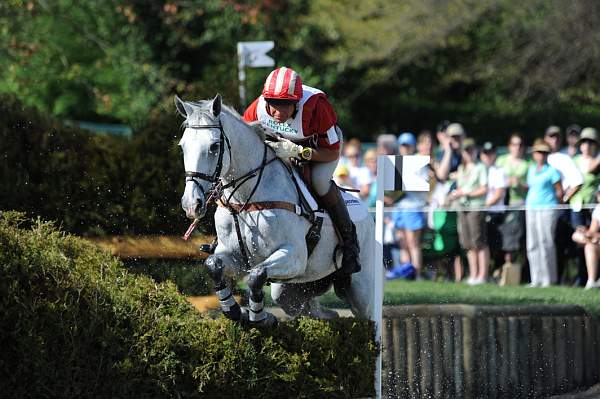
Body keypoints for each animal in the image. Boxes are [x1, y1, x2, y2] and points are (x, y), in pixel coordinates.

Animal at [176, 94, 378, 328]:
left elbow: (256, 275)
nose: (191, 204)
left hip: (361, 293)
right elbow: (212, 264)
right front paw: (233, 310)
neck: (246, 199)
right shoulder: (233, 257)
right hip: (291, 290)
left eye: (214, 146)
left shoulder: (294, 257)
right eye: (182, 146)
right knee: (318, 312)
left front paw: (259, 318)